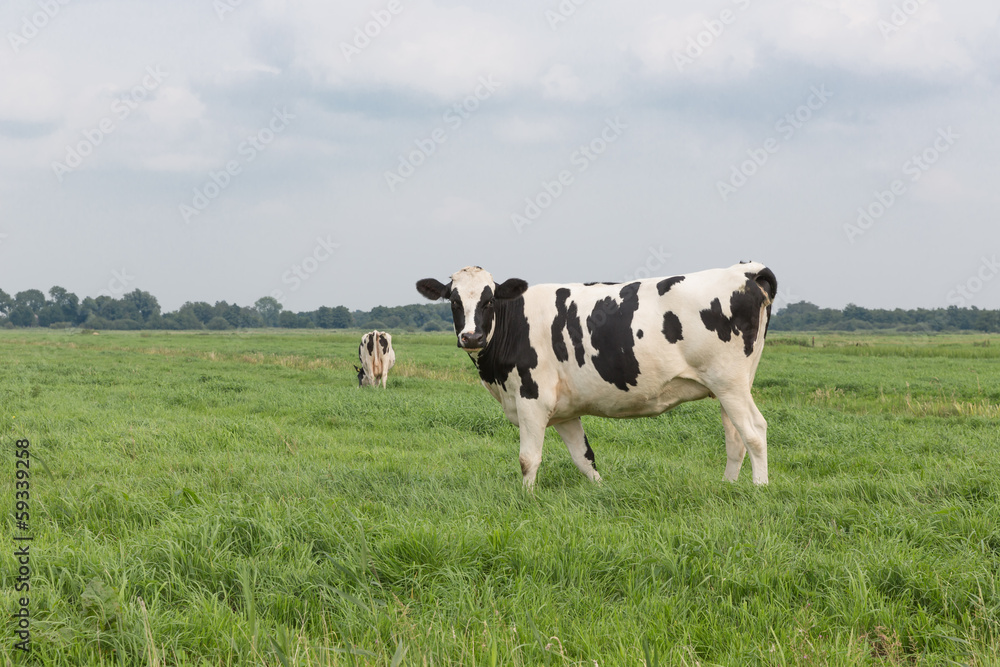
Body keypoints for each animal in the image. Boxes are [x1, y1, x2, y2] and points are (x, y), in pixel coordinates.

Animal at [418, 264, 776, 488]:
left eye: (489, 299)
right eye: (453, 300)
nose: (471, 336)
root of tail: (743, 271)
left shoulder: (532, 399)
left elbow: (528, 459)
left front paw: (526, 500)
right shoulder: (564, 411)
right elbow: (584, 457)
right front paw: (601, 491)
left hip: (729, 383)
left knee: (755, 432)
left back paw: (759, 488)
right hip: (730, 387)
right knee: (735, 439)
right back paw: (727, 486)